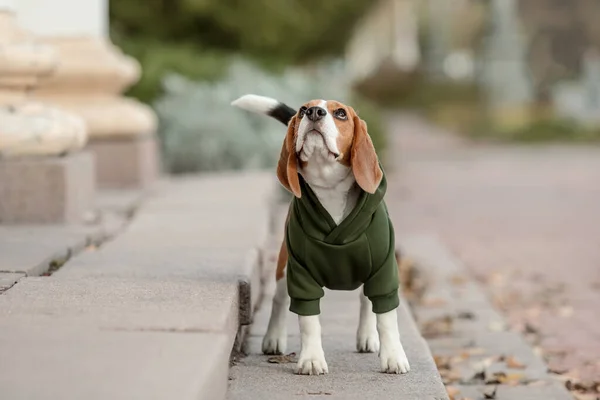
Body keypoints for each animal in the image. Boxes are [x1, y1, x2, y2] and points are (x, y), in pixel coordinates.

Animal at [232, 94, 410, 376]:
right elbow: (308, 322)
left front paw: (393, 356)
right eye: (303, 110)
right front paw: (312, 359)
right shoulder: (301, 273)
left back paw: (367, 337)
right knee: (279, 300)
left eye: (340, 114)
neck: (330, 188)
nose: (314, 113)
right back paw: (273, 337)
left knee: (366, 302)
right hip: (284, 266)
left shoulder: (383, 271)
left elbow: (386, 318)